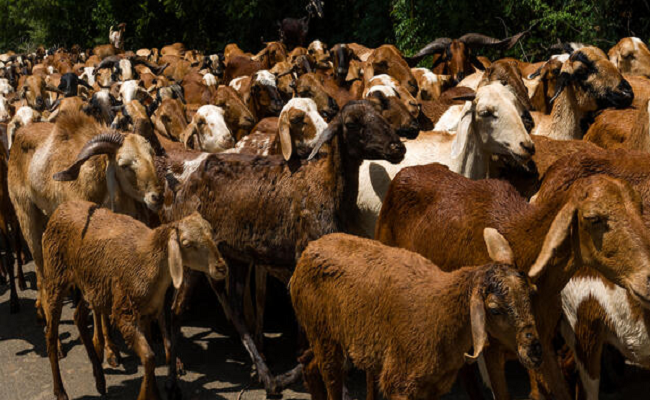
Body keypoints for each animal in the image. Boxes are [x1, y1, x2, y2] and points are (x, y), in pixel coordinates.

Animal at [42, 202, 225, 400]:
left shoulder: (147, 313)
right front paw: (146, 395)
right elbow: (149, 358)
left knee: (78, 317)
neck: (149, 261)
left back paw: (100, 380)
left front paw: (155, 394)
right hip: (56, 276)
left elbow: (151, 354)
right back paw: (60, 390)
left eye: (212, 231)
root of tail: (63, 207)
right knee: (50, 333)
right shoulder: (125, 314)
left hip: (93, 286)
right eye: (187, 244)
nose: (221, 267)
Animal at [292, 231, 540, 400]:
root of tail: (309, 250)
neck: (443, 311)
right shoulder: (399, 383)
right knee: (331, 377)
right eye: (494, 309)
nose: (535, 350)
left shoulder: (434, 387)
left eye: (531, 293)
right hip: (322, 332)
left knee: (309, 365)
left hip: (325, 335)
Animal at [374, 162, 650, 400]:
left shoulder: (543, 341)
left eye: (639, 209)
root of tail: (407, 171)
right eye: (593, 218)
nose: (648, 279)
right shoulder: (491, 348)